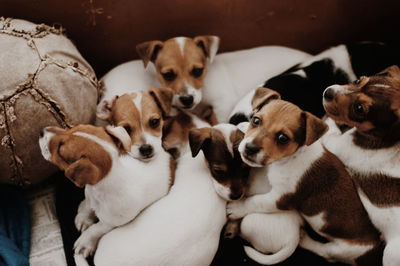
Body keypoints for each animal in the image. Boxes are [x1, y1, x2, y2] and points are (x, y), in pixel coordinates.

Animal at [38, 123, 173, 264]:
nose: (41, 131)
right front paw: (84, 217)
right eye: (73, 127)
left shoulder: (111, 223)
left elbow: (96, 229)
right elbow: (88, 207)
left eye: (60, 150)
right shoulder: (90, 195)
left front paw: (85, 241)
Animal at [227, 88, 382, 266]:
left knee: (324, 252)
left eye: (283, 138)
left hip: (341, 249)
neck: (291, 157)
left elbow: (255, 201)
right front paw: (242, 125)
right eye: (256, 120)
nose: (250, 148)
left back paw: (304, 239)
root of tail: (374, 246)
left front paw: (236, 208)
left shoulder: (280, 197)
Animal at [322, 64, 400, 266]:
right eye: (358, 81)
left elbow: (329, 129)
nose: (327, 92)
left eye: (359, 109)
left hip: (390, 254)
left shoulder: (337, 144)